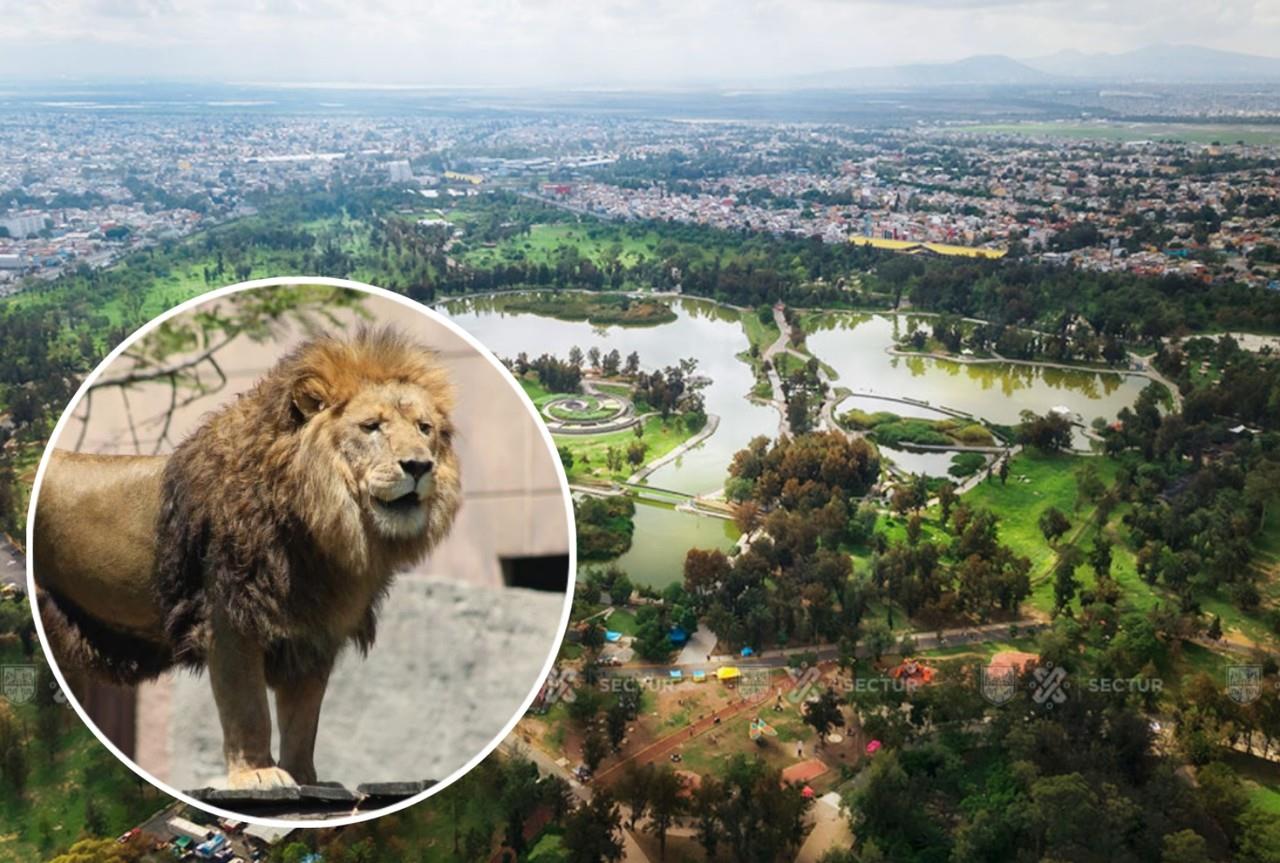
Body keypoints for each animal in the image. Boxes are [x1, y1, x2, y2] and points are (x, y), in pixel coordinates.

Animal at [31, 323, 465, 788]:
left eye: (424, 428)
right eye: (371, 427)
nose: (419, 466)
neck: (319, 530)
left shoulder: (313, 629)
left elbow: (303, 717)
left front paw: (306, 778)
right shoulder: (230, 618)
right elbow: (247, 706)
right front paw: (257, 773)